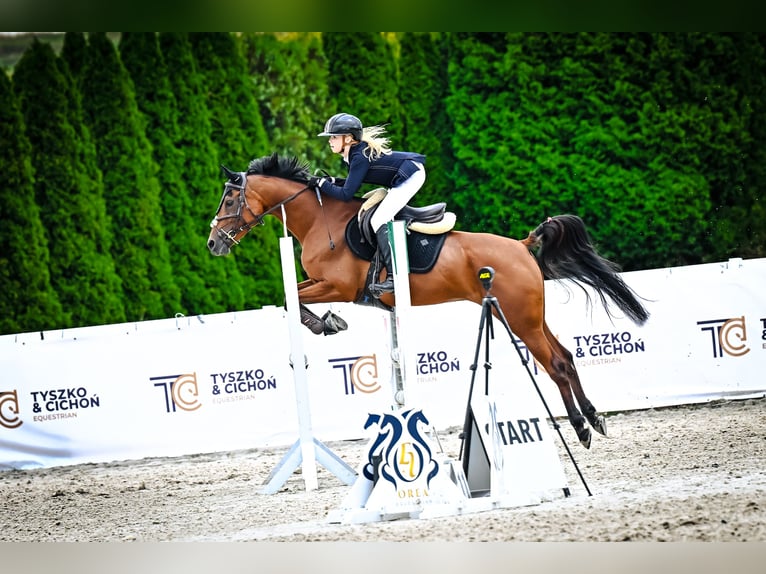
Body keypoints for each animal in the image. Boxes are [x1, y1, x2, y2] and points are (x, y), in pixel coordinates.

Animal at [207, 153, 650, 449]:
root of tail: (523, 245)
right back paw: (595, 418)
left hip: (520, 319)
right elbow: (290, 297)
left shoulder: (338, 287)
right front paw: (327, 323)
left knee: (555, 364)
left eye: (229, 200)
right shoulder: (323, 284)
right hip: (527, 316)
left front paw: (328, 323)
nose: (213, 244)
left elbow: (291, 300)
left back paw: (581, 428)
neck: (321, 220)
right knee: (567, 356)